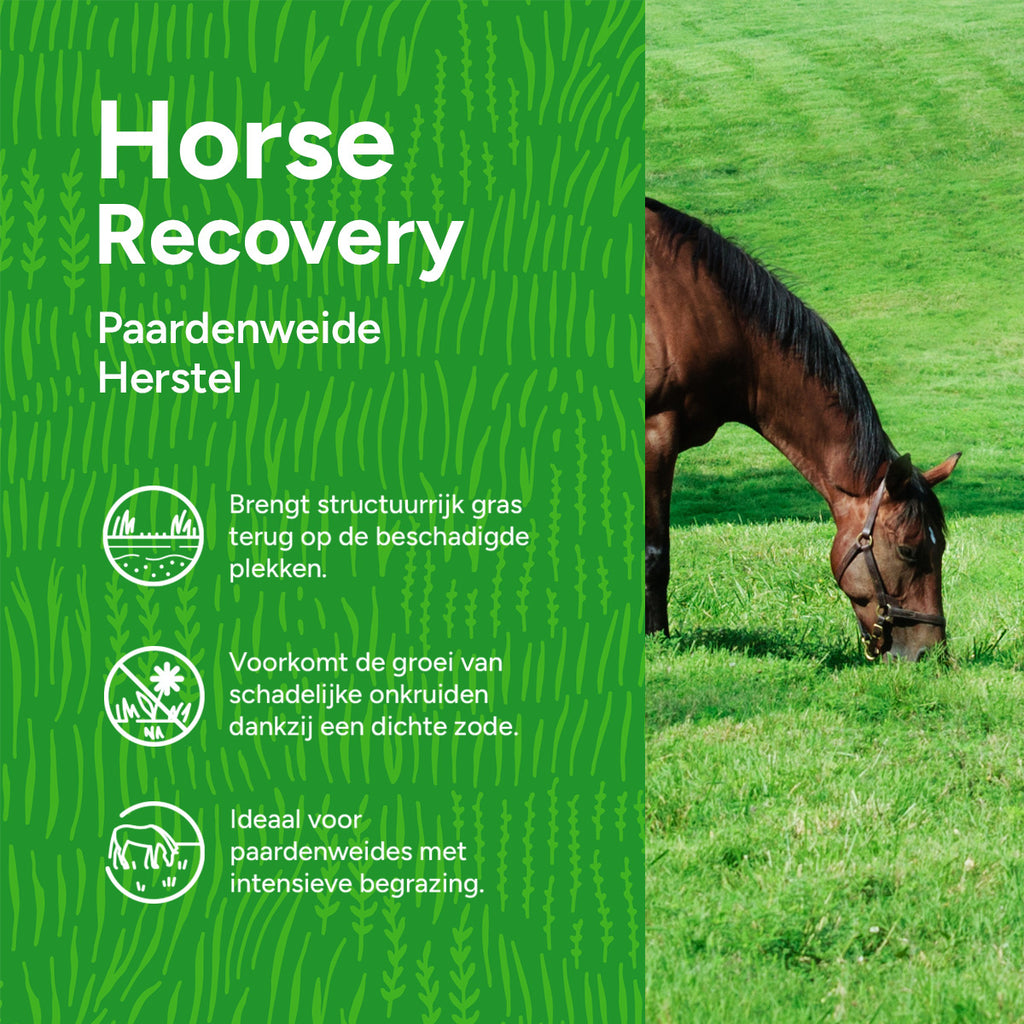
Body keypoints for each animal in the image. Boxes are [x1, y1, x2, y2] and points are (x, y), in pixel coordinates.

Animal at [644, 198, 960, 661]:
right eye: (909, 549)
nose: (931, 655)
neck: (697, 305)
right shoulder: (656, 434)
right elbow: (655, 551)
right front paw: (655, 637)